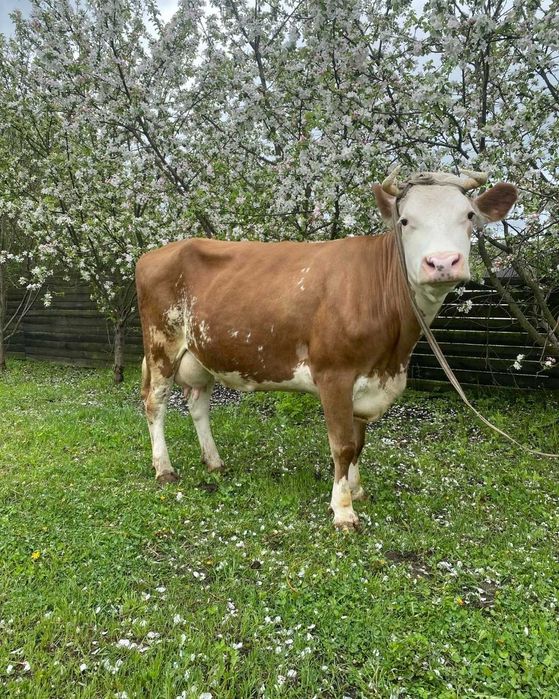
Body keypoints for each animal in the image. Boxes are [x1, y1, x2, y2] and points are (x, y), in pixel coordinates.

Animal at [135, 170, 517, 530]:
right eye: (405, 221)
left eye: (469, 215)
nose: (442, 263)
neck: (393, 355)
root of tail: (155, 253)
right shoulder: (335, 374)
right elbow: (342, 445)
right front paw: (343, 510)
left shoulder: (368, 379)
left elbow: (359, 442)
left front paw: (356, 491)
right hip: (161, 344)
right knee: (155, 403)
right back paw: (164, 469)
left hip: (201, 354)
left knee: (198, 405)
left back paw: (214, 462)